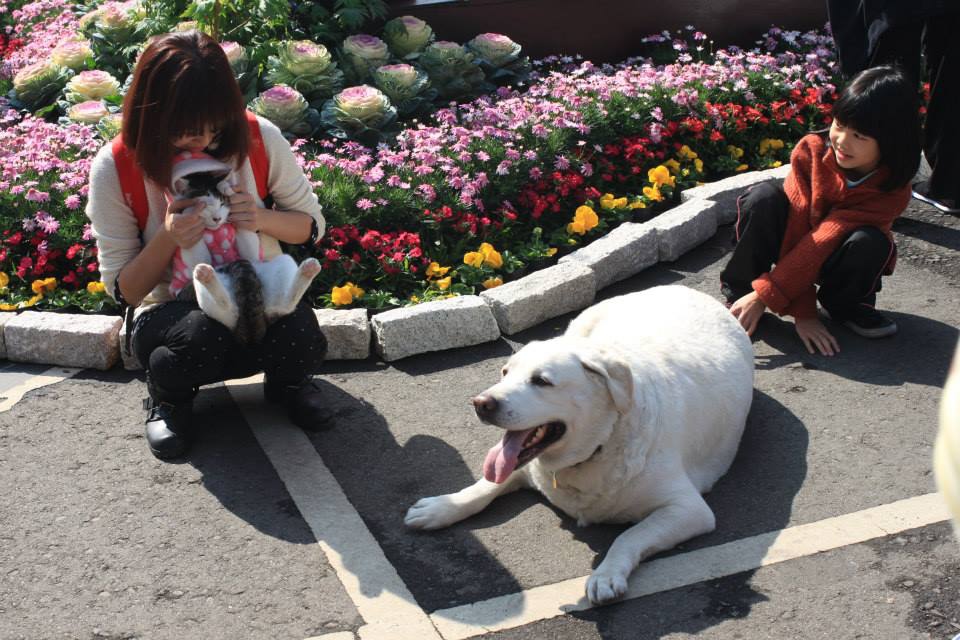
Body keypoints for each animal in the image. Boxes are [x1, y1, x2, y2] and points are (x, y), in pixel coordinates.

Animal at [172, 168, 322, 342]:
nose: (217, 218)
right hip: (195, 289)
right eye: (206, 206)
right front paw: (188, 213)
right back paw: (206, 274)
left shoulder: (250, 252)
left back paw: (309, 269)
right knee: (226, 308)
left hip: (282, 263)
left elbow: (246, 235)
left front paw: (226, 187)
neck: (216, 230)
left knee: (283, 305)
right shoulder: (193, 253)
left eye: (222, 204)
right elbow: (195, 248)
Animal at [404, 284, 756, 604]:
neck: (599, 445)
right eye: (504, 372)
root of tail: (686, 290)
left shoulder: (688, 509)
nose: (481, 403)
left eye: (541, 381)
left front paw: (606, 574)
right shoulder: (525, 468)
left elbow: (630, 535)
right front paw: (441, 507)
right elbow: (484, 487)